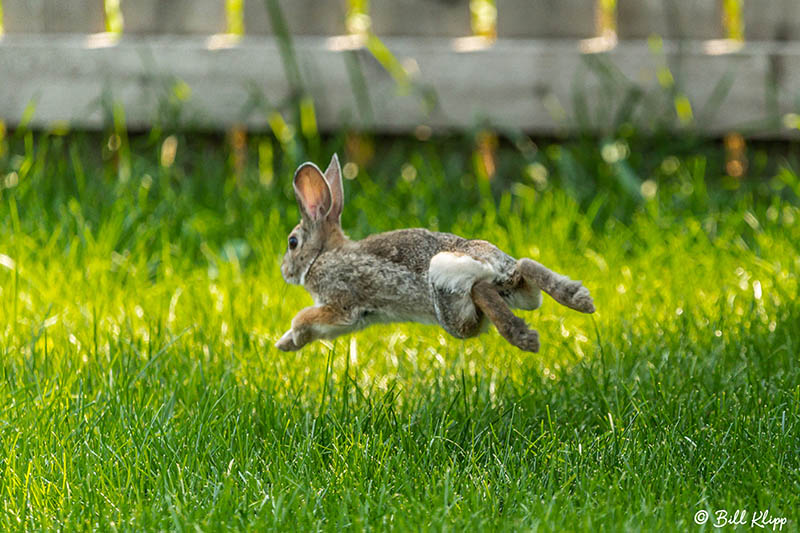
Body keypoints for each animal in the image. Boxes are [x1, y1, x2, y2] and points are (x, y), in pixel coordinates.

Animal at [276, 154, 592, 354]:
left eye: (292, 242)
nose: (284, 272)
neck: (321, 256)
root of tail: (489, 262)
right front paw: (285, 344)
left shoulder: (341, 304)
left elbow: (303, 318)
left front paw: (289, 338)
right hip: (515, 292)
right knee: (525, 269)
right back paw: (578, 299)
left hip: (448, 296)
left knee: (481, 292)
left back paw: (525, 338)